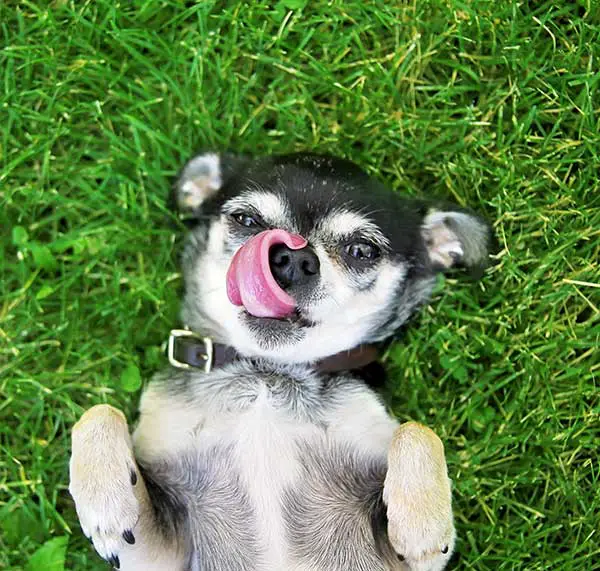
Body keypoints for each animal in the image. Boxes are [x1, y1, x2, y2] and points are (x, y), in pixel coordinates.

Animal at [70, 152, 492, 571]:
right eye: (247, 220)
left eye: (362, 251)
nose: (293, 256)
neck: (267, 375)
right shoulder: (155, 554)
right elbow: (99, 411)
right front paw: (106, 508)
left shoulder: (406, 564)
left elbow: (416, 431)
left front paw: (420, 528)